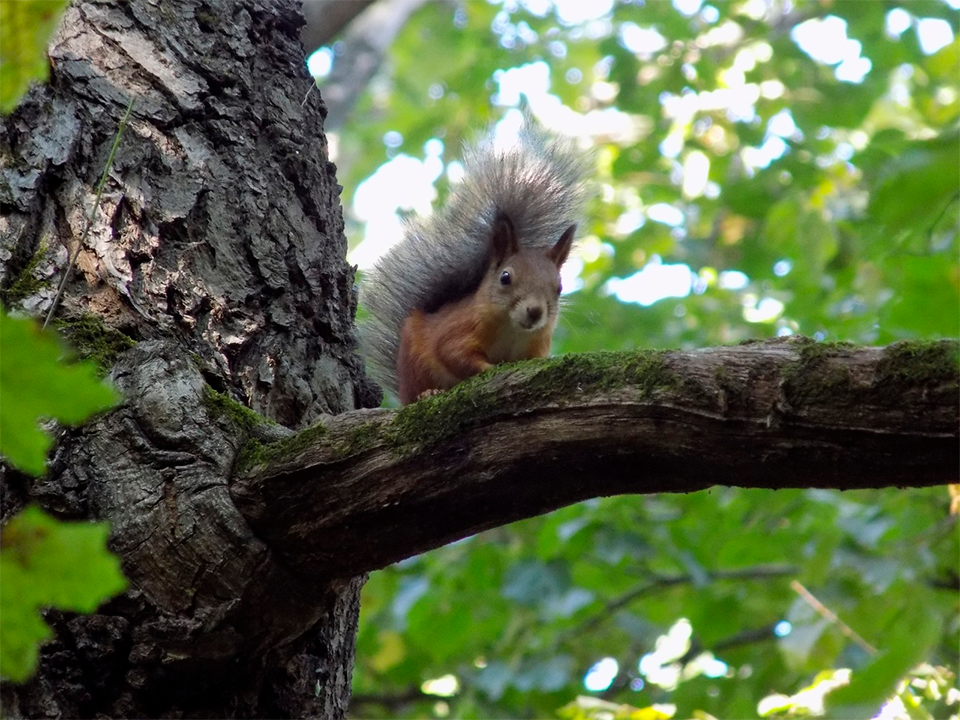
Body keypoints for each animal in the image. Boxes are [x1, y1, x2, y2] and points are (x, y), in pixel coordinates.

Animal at [358, 115, 584, 402]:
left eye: (559, 287)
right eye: (505, 277)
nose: (535, 312)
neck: (512, 330)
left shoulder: (536, 347)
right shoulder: (457, 331)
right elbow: (454, 355)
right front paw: (491, 368)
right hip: (413, 362)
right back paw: (428, 393)